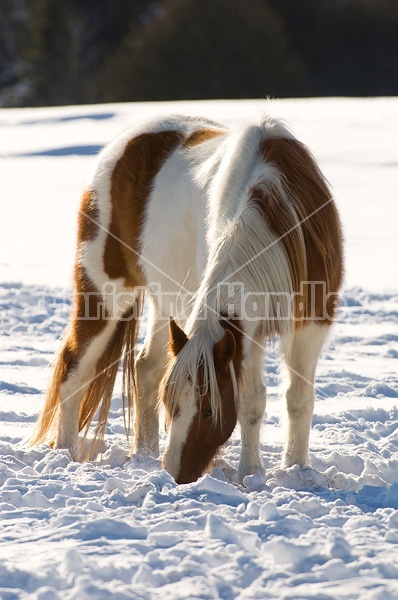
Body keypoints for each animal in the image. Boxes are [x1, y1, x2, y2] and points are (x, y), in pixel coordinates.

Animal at [30, 115, 342, 486]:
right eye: (174, 405)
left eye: (208, 411)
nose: (177, 475)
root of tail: (120, 146)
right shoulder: (246, 333)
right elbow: (251, 401)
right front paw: (251, 473)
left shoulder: (311, 323)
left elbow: (298, 399)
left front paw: (296, 468)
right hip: (103, 291)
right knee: (74, 366)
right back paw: (66, 452)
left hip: (165, 303)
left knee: (146, 369)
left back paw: (144, 454)